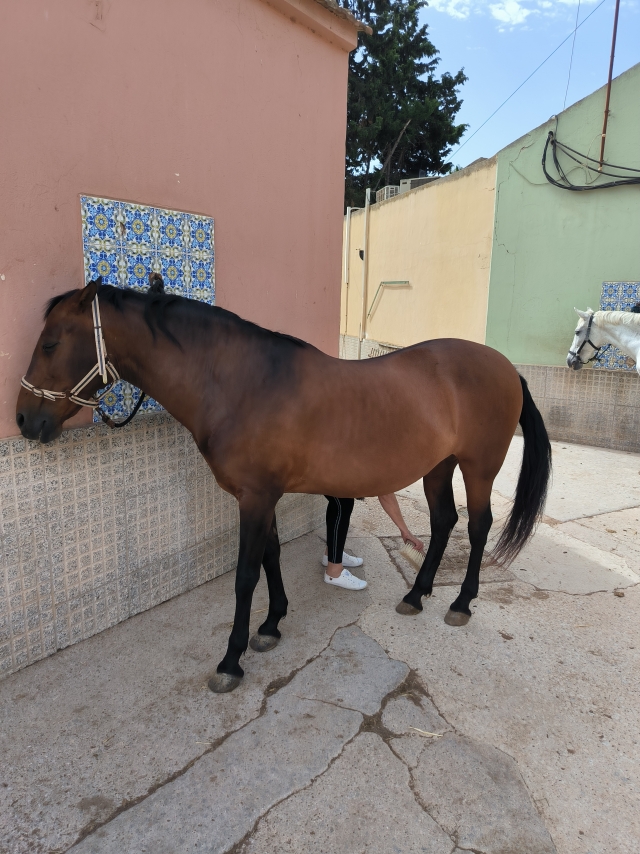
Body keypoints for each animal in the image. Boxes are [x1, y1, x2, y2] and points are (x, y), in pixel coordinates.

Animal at [16, 277, 552, 692]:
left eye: (50, 343)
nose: (23, 419)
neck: (244, 384)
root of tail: (507, 367)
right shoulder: (263, 496)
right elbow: (270, 557)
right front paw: (272, 625)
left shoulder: (254, 499)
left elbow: (245, 575)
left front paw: (231, 661)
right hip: (438, 467)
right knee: (443, 522)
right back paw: (417, 595)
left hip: (478, 467)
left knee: (478, 526)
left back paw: (460, 603)